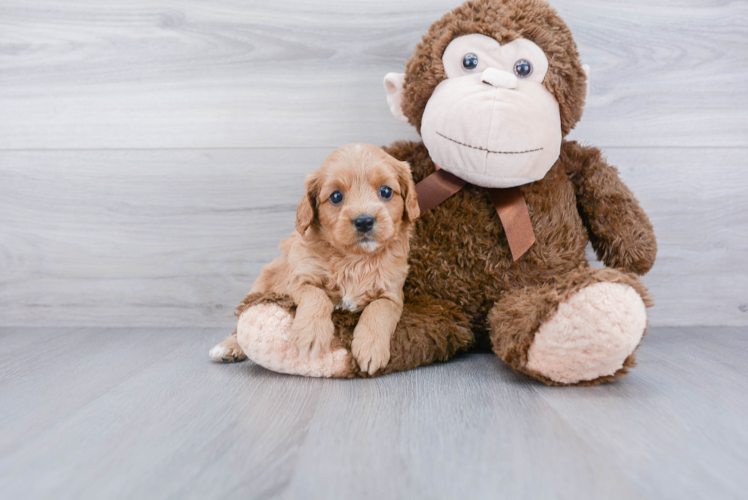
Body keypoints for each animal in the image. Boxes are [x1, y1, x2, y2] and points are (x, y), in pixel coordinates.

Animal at [210, 143, 420, 374]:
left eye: (386, 191)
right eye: (336, 196)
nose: (364, 221)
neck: (354, 259)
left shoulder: (392, 293)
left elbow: (379, 308)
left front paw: (370, 348)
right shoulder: (298, 279)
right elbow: (316, 295)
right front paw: (311, 334)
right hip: (262, 284)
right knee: (241, 319)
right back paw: (229, 347)